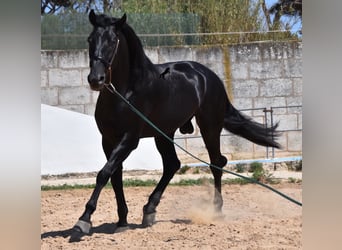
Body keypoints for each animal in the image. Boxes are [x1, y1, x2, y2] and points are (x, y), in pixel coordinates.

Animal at [72, 9, 280, 239]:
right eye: (90, 39)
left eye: (112, 40)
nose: (95, 79)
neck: (125, 92)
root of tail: (209, 76)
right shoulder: (108, 140)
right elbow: (114, 176)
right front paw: (122, 220)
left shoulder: (129, 140)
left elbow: (104, 174)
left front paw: (84, 220)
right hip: (164, 134)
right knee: (173, 165)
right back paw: (149, 210)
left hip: (209, 127)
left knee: (216, 163)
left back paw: (216, 210)